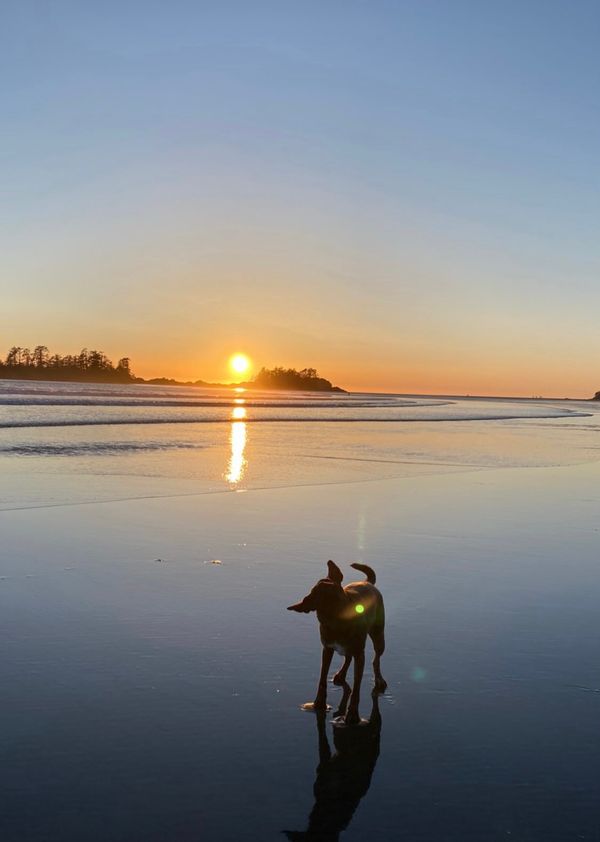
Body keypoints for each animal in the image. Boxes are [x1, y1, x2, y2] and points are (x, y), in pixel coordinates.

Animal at [288, 556, 390, 720]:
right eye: (323, 598)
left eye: (340, 592)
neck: (338, 625)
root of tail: (367, 582)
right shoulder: (327, 649)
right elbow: (322, 678)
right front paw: (318, 705)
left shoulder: (359, 654)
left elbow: (356, 687)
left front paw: (352, 715)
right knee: (348, 657)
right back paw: (341, 675)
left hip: (378, 635)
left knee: (376, 658)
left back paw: (379, 679)